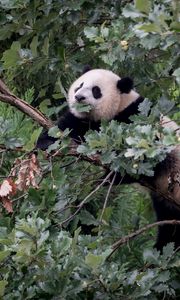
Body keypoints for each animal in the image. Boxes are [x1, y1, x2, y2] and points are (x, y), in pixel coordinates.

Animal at [37, 67, 180, 251]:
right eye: (80, 85)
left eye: (96, 91)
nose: (79, 97)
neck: (121, 104)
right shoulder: (86, 121)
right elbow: (67, 127)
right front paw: (45, 142)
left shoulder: (137, 119)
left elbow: (144, 157)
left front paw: (110, 177)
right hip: (166, 202)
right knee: (170, 229)